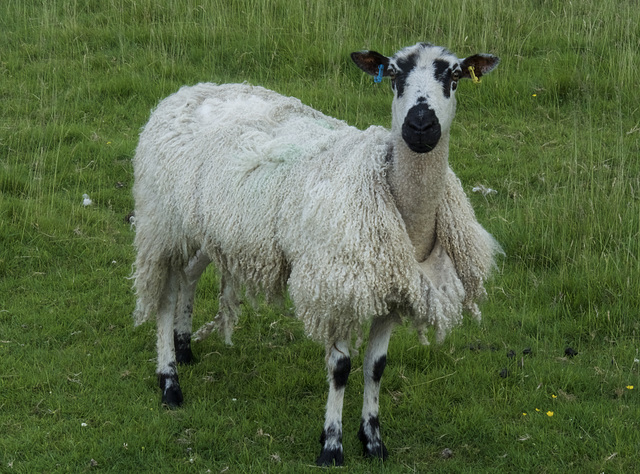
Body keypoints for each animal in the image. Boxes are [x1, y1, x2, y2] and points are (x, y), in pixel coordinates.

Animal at [130, 41, 500, 466]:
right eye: (393, 74)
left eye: (454, 76)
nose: (420, 127)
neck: (404, 211)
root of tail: (185, 91)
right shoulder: (334, 287)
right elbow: (340, 368)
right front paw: (332, 446)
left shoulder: (393, 289)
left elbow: (376, 367)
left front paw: (373, 442)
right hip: (163, 223)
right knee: (165, 294)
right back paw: (170, 382)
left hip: (209, 226)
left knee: (190, 275)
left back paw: (184, 347)